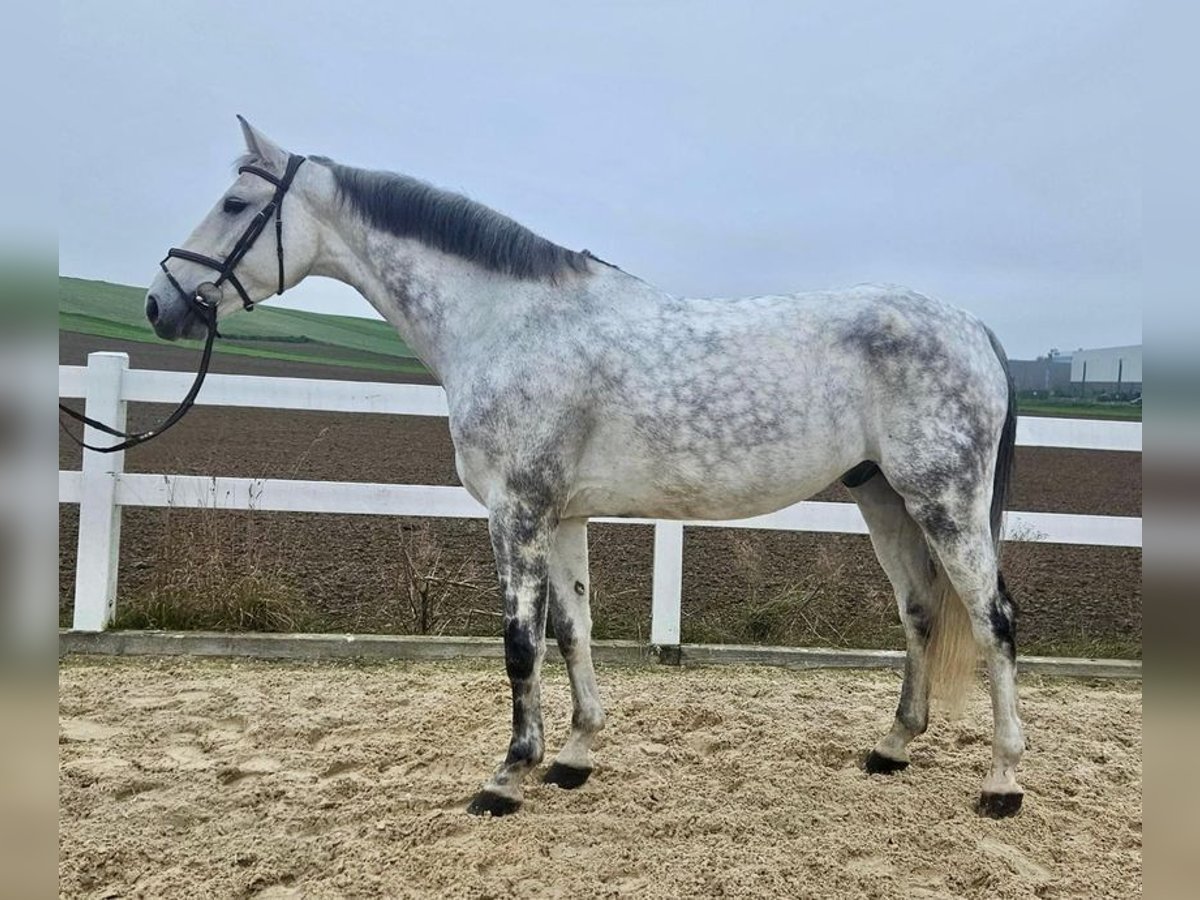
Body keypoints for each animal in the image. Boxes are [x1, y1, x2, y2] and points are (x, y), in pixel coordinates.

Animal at [145, 116, 1027, 820]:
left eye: (234, 206)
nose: (161, 303)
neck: (509, 325)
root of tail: (973, 327)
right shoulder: (562, 514)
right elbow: (573, 630)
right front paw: (573, 756)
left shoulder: (516, 511)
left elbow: (520, 645)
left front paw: (507, 776)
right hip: (883, 498)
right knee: (920, 611)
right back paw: (893, 747)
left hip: (945, 501)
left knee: (993, 619)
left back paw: (1003, 782)